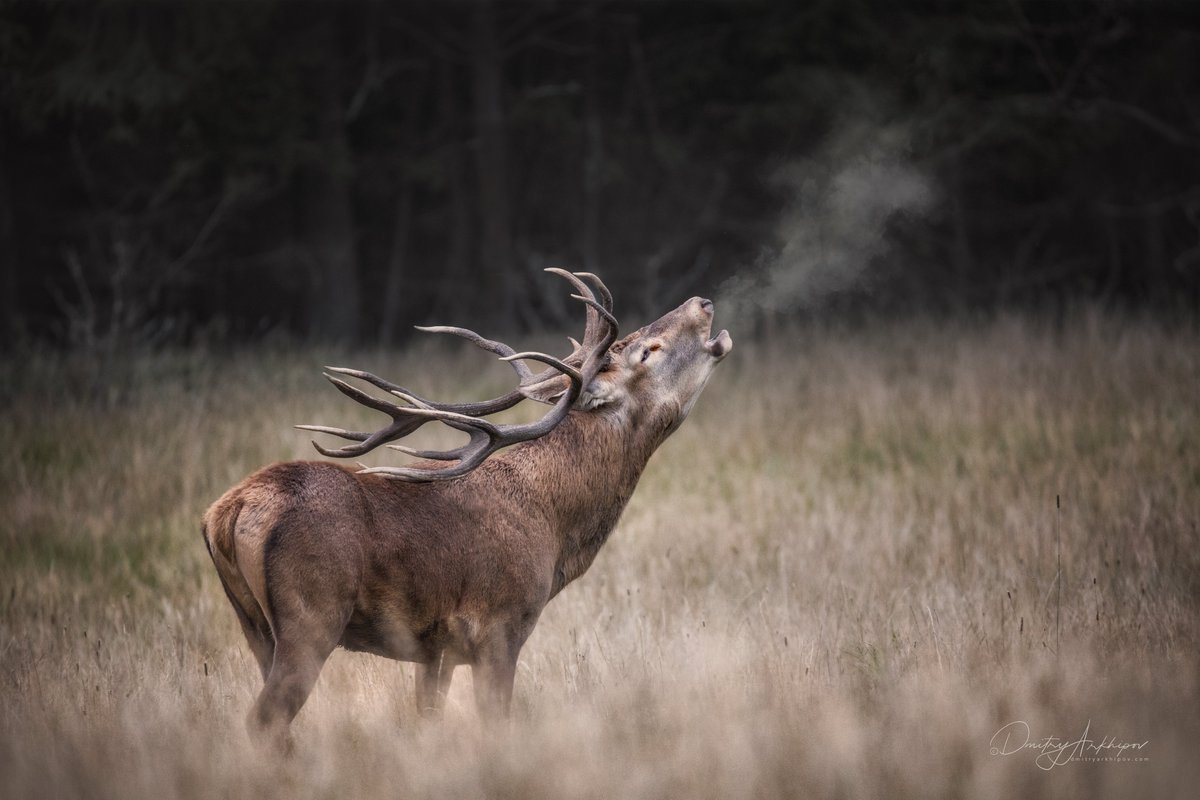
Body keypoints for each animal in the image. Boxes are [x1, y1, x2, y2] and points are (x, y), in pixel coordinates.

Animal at [202, 269, 732, 746]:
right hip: (311, 615)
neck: (555, 529)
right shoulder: (500, 626)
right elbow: (497, 724)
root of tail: (224, 513)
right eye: (648, 350)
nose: (702, 302)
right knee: (265, 721)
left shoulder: (436, 650)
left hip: (255, 627)